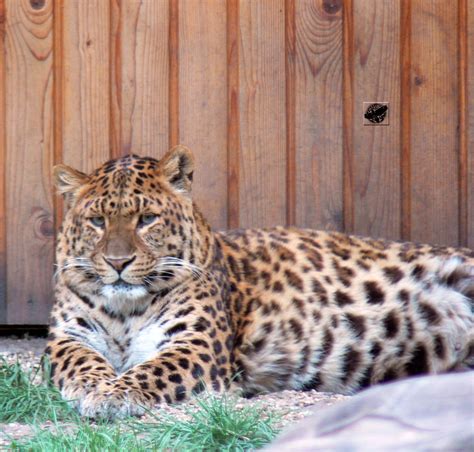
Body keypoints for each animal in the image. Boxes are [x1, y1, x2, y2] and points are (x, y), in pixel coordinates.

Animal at [45, 146, 474, 420]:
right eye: (97, 222)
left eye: (147, 219)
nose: (118, 263)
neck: (126, 309)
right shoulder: (68, 337)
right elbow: (81, 361)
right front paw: (96, 388)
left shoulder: (195, 345)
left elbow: (151, 370)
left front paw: (114, 394)